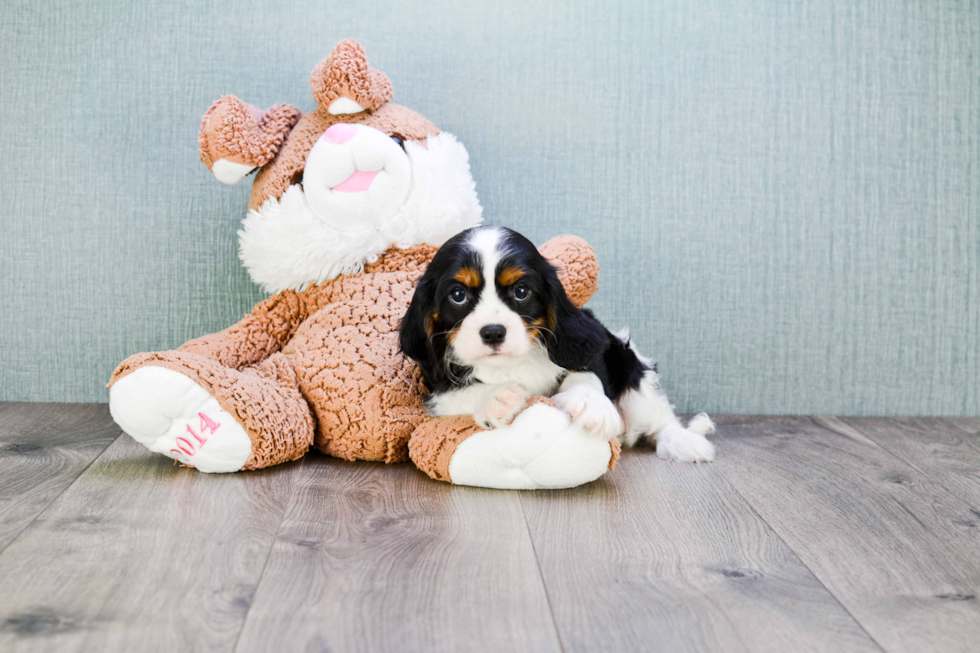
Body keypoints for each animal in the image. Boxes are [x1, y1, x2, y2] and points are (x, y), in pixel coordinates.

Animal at [402, 227, 716, 460]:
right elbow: (457, 393)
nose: (493, 332)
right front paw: (496, 397)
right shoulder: (434, 387)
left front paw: (591, 404)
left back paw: (685, 442)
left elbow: (584, 372)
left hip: (630, 366)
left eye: (521, 291)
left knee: (658, 419)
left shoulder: (588, 346)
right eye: (458, 295)